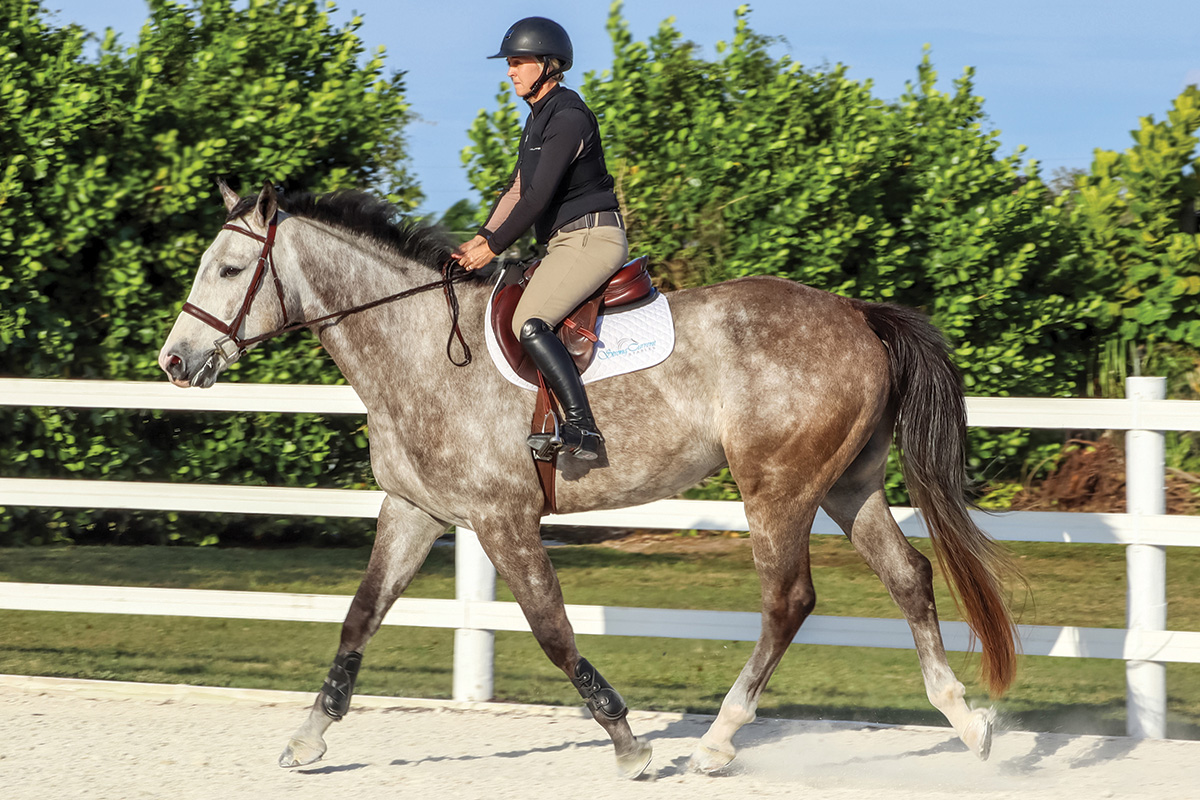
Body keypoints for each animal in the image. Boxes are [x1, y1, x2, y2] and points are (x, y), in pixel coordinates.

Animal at [159, 183, 1017, 782]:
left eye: (231, 269)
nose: (174, 362)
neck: (416, 347)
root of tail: (856, 313)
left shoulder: (502, 519)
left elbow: (551, 629)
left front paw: (627, 743)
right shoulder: (413, 512)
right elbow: (359, 618)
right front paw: (308, 736)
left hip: (777, 488)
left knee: (789, 601)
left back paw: (716, 742)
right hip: (846, 485)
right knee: (908, 577)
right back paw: (967, 723)